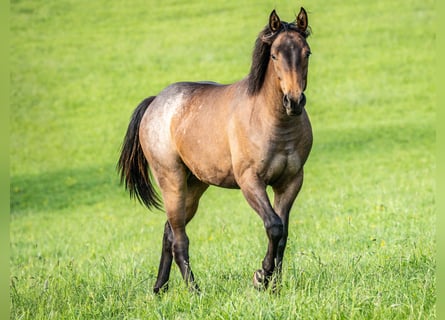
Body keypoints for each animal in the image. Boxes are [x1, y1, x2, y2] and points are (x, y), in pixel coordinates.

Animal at [118, 6, 312, 292]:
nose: (294, 101)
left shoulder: (290, 182)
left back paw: (159, 289)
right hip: (172, 181)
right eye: (275, 55)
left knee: (168, 232)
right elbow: (274, 226)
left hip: (195, 185)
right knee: (179, 239)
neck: (272, 121)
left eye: (306, 52)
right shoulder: (250, 181)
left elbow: (283, 233)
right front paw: (260, 277)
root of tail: (155, 102)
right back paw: (194, 290)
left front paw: (273, 286)